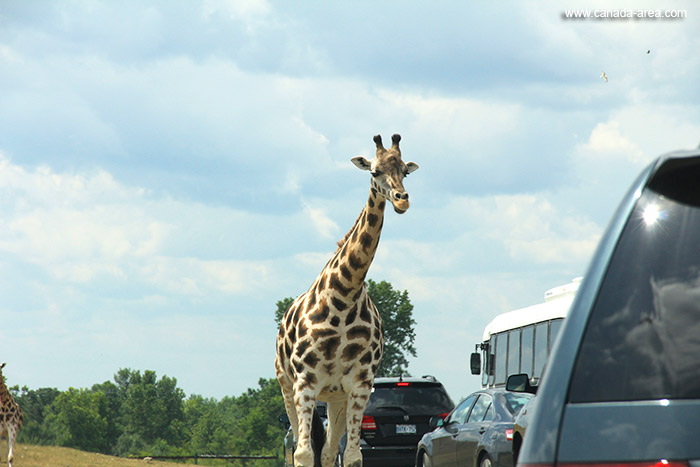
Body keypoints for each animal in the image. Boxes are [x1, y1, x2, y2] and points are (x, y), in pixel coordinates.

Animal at [274, 133, 418, 466]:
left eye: (405, 171)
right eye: (374, 171)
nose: (402, 200)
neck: (343, 298)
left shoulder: (359, 386)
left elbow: (351, 455)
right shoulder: (305, 383)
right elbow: (303, 454)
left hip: (335, 396)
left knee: (328, 451)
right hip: (286, 385)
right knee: (300, 448)